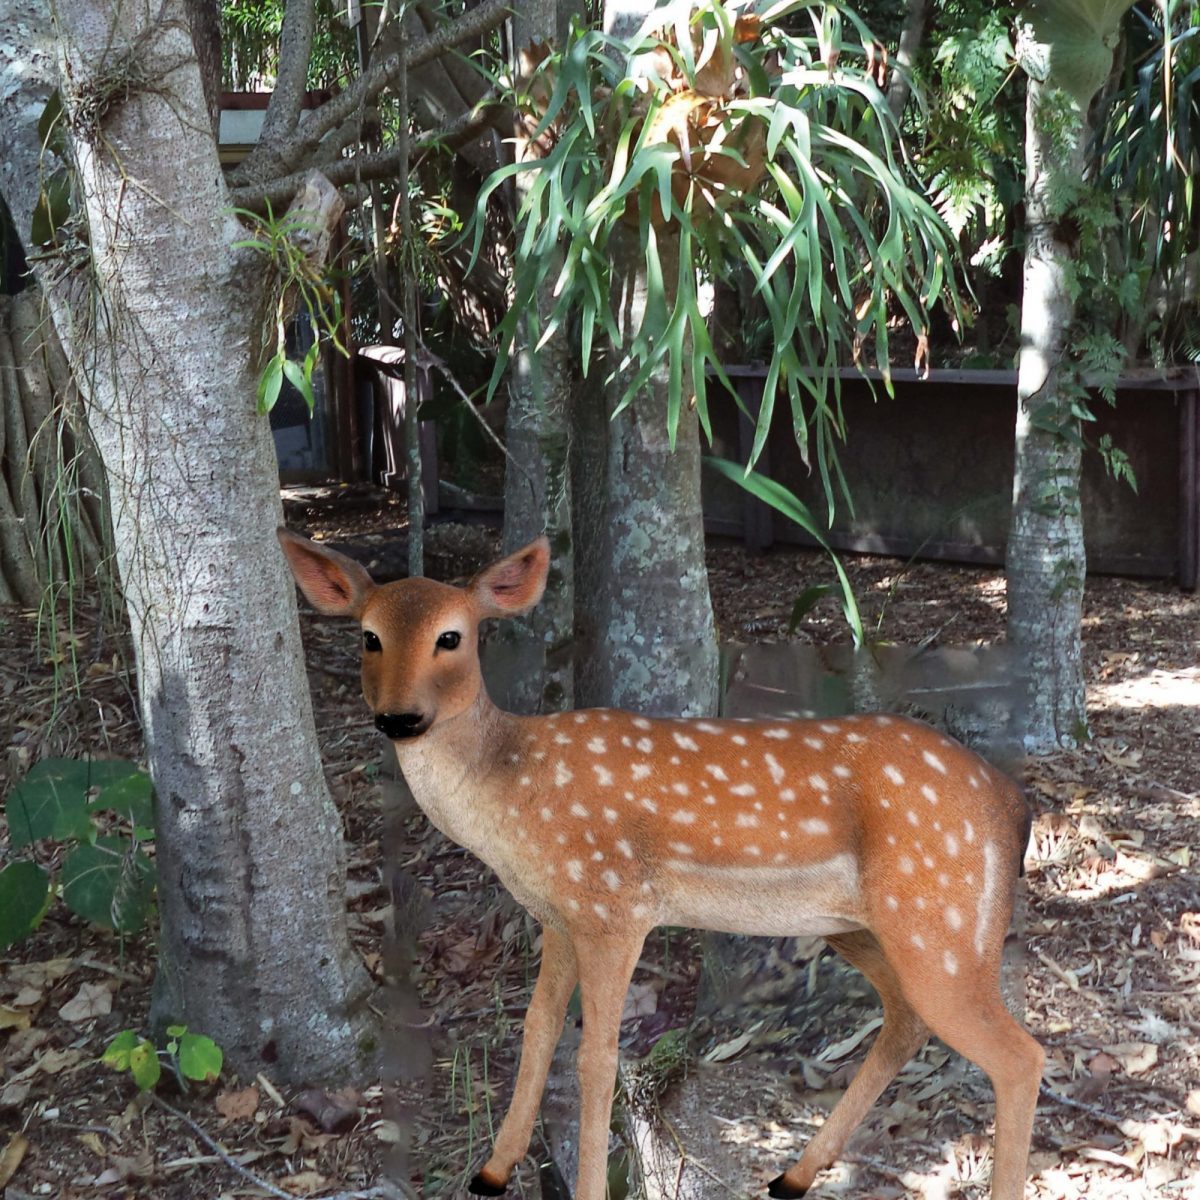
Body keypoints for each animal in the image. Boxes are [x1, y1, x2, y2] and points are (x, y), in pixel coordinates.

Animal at [278, 529, 1044, 1200]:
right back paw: (792, 1175)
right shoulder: (559, 915)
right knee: (907, 1021)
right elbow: (536, 1032)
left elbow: (597, 1059)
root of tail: (1013, 804)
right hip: (859, 926)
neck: (514, 794)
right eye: (369, 635)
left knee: (1020, 1055)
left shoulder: (612, 904)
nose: (399, 718)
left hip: (939, 921)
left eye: (451, 636)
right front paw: (493, 1171)